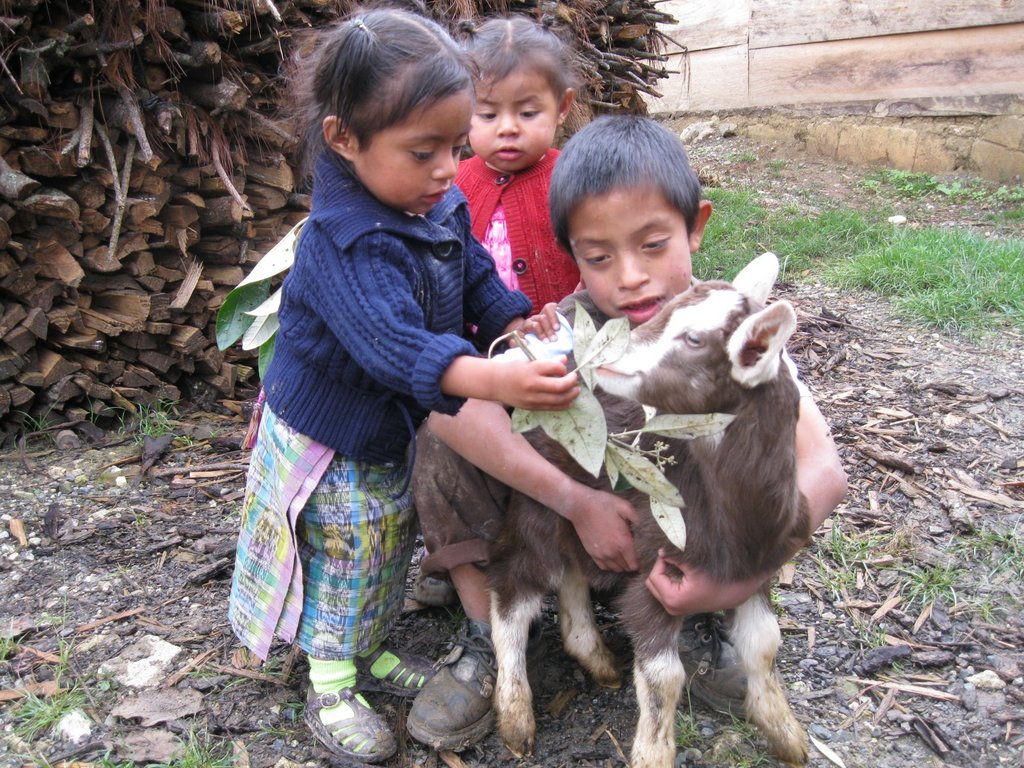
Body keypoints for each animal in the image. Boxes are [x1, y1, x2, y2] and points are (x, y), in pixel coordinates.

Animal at [485, 253, 806, 768]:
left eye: (694, 339)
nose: (603, 356)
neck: (734, 517)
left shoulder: (754, 566)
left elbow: (764, 644)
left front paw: (785, 732)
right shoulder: (660, 563)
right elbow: (663, 677)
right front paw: (653, 753)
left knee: (572, 569)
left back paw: (593, 655)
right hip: (536, 501)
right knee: (513, 588)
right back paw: (516, 717)